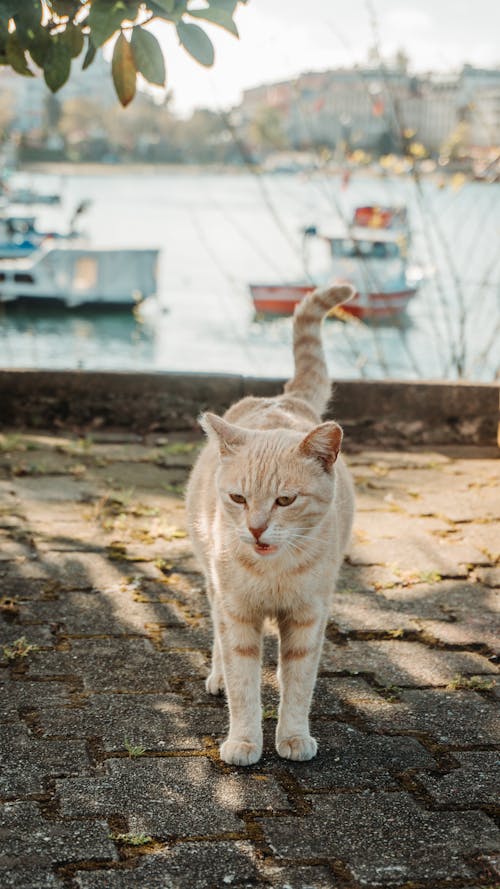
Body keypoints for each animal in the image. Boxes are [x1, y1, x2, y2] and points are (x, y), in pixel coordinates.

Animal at [187, 282, 356, 764]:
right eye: (238, 498)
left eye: (285, 500)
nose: (256, 528)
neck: (273, 571)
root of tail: (285, 400)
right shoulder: (237, 612)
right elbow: (243, 682)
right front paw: (245, 740)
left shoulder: (307, 616)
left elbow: (298, 683)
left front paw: (293, 735)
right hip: (212, 582)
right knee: (218, 638)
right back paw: (217, 675)